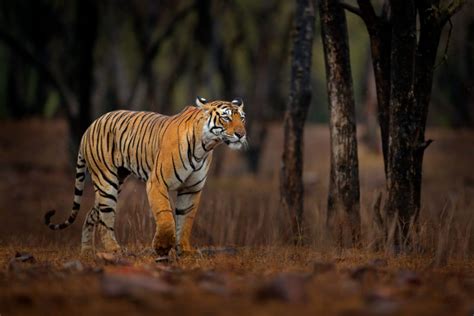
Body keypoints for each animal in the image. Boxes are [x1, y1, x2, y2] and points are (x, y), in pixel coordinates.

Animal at [44, 97, 248, 256]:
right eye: (226, 117)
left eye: (243, 119)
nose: (241, 134)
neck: (205, 146)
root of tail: (91, 125)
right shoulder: (157, 183)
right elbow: (166, 218)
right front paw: (162, 247)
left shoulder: (192, 189)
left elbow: (186, 220)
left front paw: (185, 250)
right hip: (106, 182)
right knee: (105, 218)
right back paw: (113, 249)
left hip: (115, 183)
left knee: (92, 214)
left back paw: (86, 251)